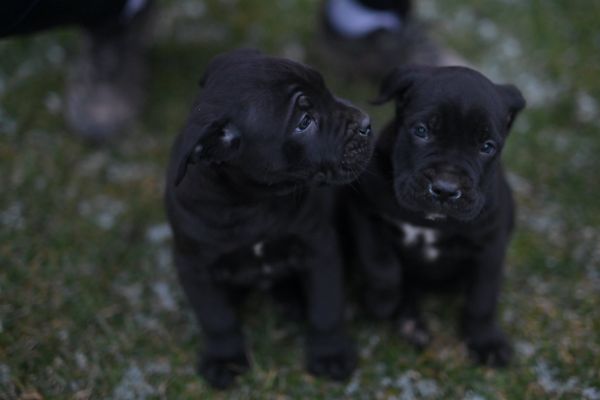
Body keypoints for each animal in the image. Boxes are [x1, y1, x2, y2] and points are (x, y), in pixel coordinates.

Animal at [163, 49, 370, 388]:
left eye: (326, 89)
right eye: (304, 122)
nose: (367, 123)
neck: (254, 203)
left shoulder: (320, 248)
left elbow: (326, 307)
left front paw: (330, 354)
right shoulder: (194, 265)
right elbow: (216, 318)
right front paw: (224, 359)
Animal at [346, 65, 524, 366]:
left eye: (487, 146)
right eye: (421, 131)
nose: (446, 188)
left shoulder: (490, 246)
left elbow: (483, 297)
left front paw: (486, 341)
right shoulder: (366, 213)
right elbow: (382, 267)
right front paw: (381, 303)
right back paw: (409, 321)